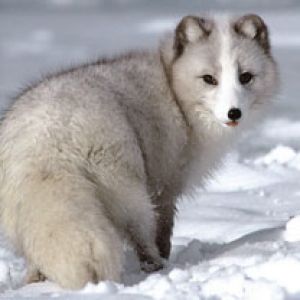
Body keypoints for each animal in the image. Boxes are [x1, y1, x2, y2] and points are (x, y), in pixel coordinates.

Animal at [0, 14, 278, 288]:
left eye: (246, 77)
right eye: (209, 79)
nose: (234, 113)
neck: (173, 88)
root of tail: (49, 139)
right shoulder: (165, 185)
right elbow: (163, 230)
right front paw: (164, 256)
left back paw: (35, 280)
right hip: (129, 192)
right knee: (141, 234)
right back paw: (155, 266)